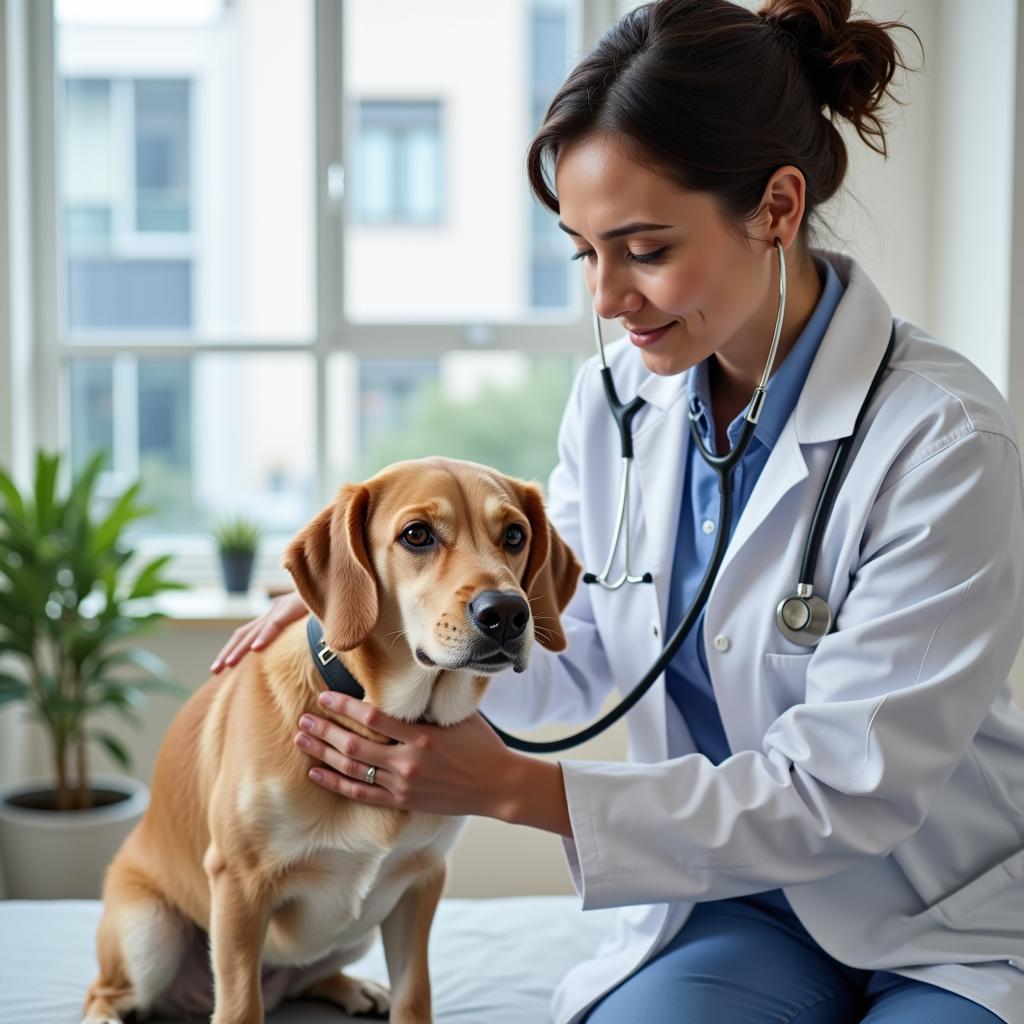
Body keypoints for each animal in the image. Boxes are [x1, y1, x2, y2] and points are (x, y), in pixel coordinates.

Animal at [78, 458, 581, 1024]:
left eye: (515, 535)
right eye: (417, 535)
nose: (508, 614)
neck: (381, 715)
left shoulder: (420, 882)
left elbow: (414, 995)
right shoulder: (238, 883)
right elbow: (240, 1006)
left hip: (356, 928)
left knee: (304, 979)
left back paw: (352, 987)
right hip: (150, 932)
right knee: (107, 991)